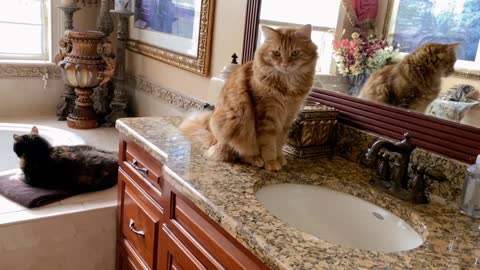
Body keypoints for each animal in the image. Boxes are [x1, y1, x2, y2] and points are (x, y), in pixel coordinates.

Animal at [180, 23, 318, 171]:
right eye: (276, 53)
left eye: (295, 53)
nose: (285, 65)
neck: (286, 85)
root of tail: (215, 139)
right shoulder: (267, 116)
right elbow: (269, 145)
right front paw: (271, 162)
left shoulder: (288, 117)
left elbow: (280, 143)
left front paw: (280, 158)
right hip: (238, 122)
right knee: (239, 152)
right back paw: (256, 159)